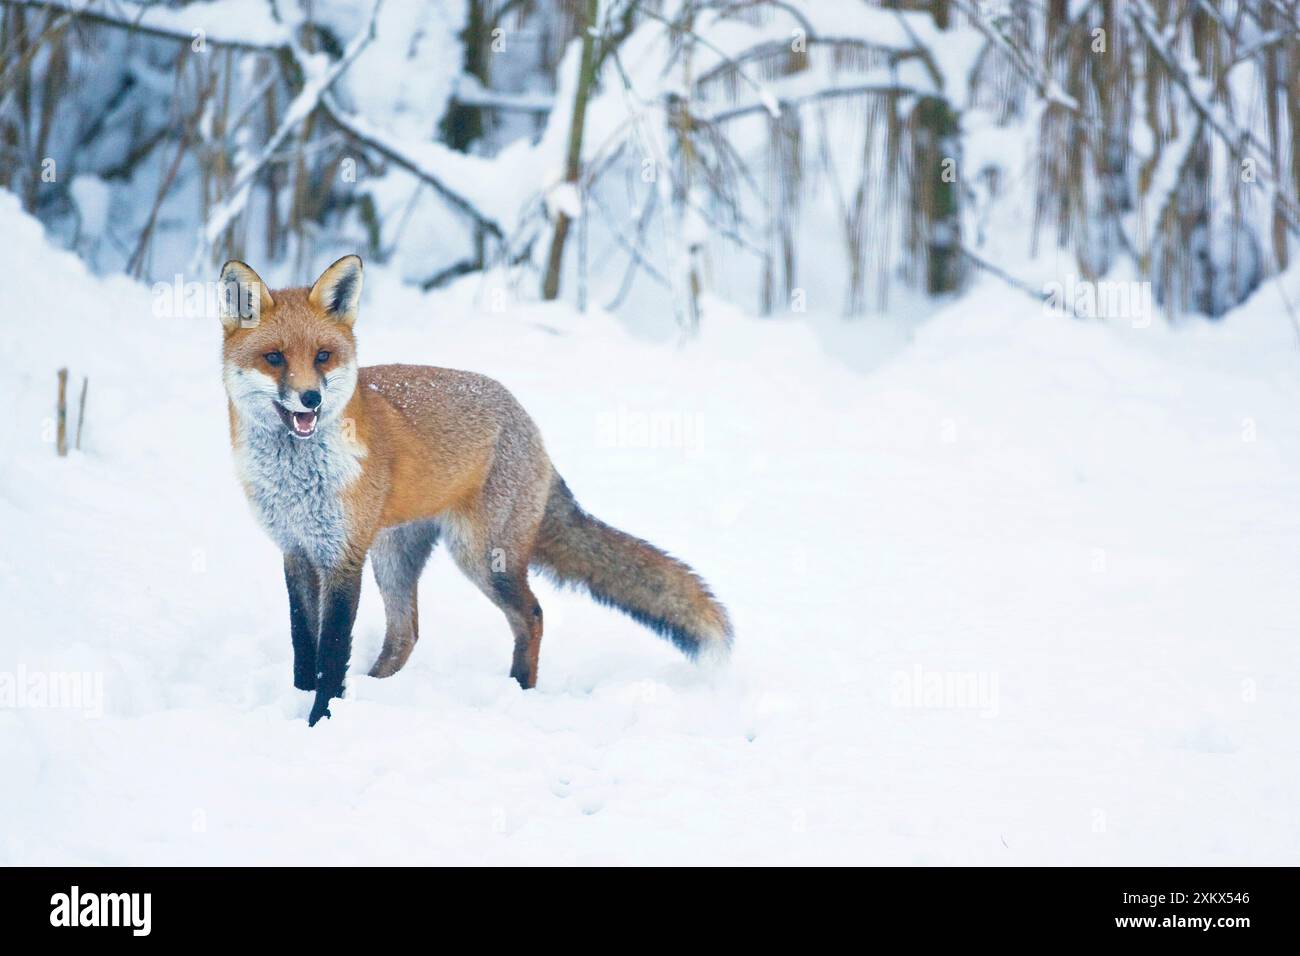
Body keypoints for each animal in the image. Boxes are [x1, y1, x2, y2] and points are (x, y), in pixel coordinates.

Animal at [220, 254, 733, 723]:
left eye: (323, 356)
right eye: (275, 358)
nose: (311, 398)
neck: (297, 483)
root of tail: (528, 422)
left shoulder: (343, 556)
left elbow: (330, 652)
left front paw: (322, 719)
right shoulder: (296, 551)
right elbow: (303, 645)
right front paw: (300, 702)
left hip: (483, 557)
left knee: (531, 616)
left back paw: (518, 691)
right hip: (394, 557)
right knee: (406, 634)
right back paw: (379, 688)